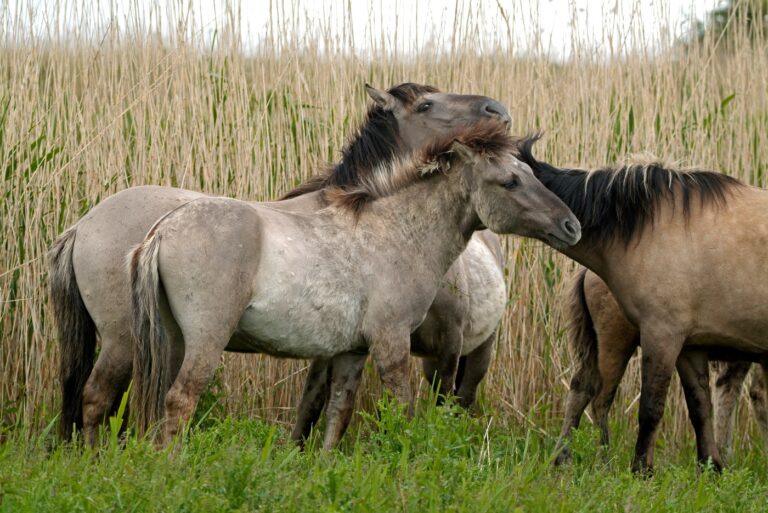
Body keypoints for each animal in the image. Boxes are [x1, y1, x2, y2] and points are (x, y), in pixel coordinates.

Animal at [51, 82, 512, 442]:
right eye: (427, 105)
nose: (500, 112)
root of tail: (83, 225)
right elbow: (315, 401)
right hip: (123, 339)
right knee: (98, 397)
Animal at [556, 268, 768, 464]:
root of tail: (587, 273)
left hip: (595, 345)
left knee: (580, 388)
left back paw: (562, 460)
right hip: (616, 343)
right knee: (600, 398)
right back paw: (604, 461)